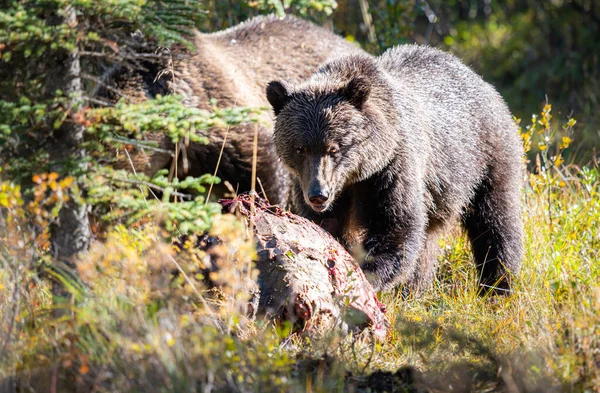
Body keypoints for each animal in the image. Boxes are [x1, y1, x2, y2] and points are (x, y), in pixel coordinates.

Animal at [268, 45, 524, 290]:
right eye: (300, 149)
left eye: (334, 148)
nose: (318, 194)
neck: (356, 175)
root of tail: (480, 80)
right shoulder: (311, 187)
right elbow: (325, 226)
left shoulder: (392, 170)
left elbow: (396, 228)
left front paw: (367, 277)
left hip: (485, 157)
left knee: (495, 222)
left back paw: (497, 285)